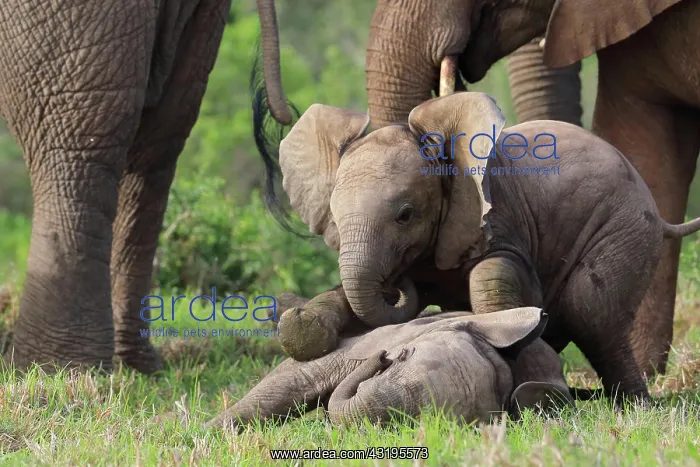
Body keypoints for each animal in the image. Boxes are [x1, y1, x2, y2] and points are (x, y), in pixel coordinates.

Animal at [272, 92, 700, 402]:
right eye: (334, 217)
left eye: (405, 215)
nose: (397, 284)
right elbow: (347, 296)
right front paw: (301, 328)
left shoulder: (498, 217)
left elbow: (491, 277)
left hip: (625, 227)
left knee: (590, 310)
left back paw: (634, 404)